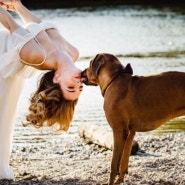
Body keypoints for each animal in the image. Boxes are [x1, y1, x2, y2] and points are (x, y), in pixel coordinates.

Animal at [81, 52, 185, 184]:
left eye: (90, 63)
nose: (81, 72)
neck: (115, 80)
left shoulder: (118, 131)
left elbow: (114, 164)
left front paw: (111, 182)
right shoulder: (130, 132)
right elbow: (124, 159)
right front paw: (120, 180)